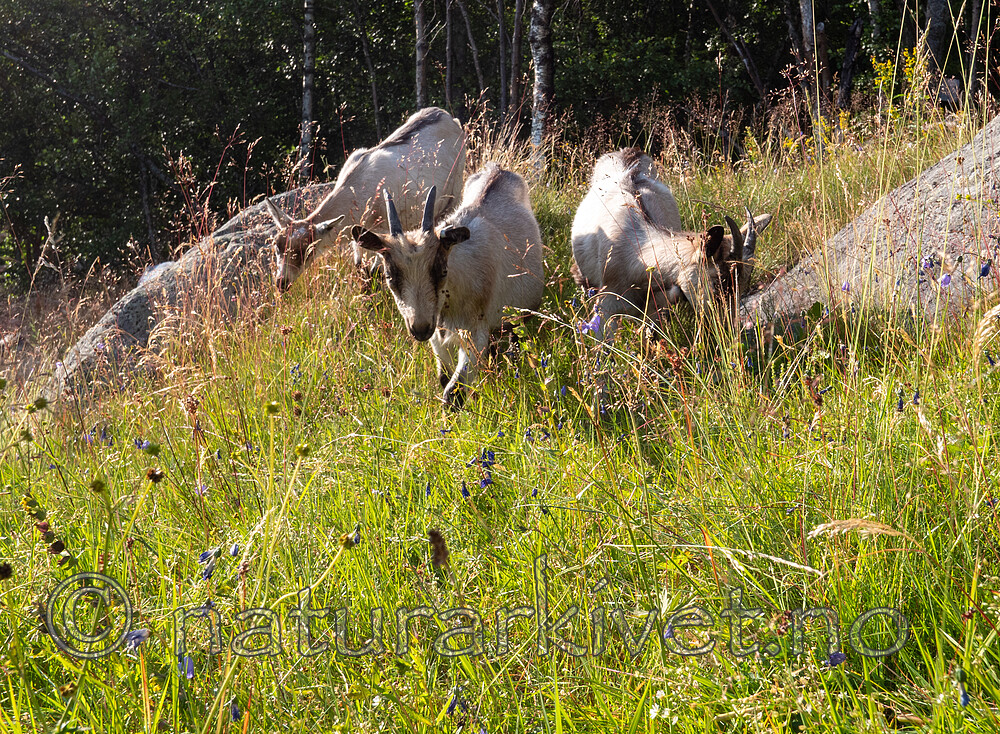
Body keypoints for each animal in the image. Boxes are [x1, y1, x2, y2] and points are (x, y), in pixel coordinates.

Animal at [266, 107, 466, 292]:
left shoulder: (383, 229)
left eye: (306, 250)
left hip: (455, 189)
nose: (281, 282)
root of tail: (450, 118)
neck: (359, 190)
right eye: (277, 246)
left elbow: (375, 273)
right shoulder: (358, 236)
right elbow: (361, 269)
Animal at [353, 163, 544, 405]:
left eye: (442, 271)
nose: (420, 329)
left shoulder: (474, 334)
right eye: (389, 276)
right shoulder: (437, 335)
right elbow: (443, 378)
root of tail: (498, 170)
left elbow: (453, 393)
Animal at [570, 150, 771, 343]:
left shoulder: (656, 310)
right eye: (719, 282)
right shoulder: (605, 308)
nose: (728, 328)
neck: (635, 255)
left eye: (745, 283)